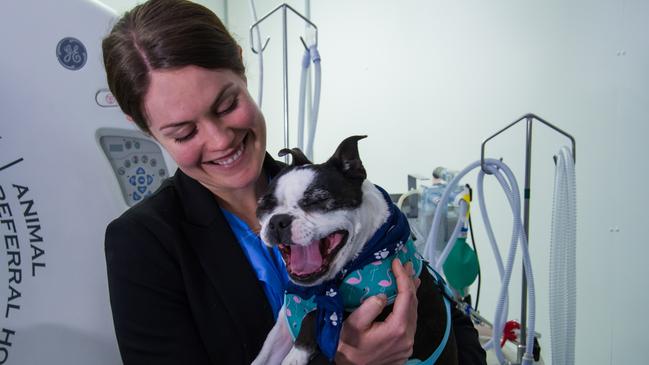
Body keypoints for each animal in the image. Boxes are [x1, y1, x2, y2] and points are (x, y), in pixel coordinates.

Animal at [251, 136, 458, 364]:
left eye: (318, 200)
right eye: (264, 205)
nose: (278, 221)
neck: (322, 287)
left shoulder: (375, 307)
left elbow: (316, 314)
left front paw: (295, 356)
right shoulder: (283, 324)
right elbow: (265, 354)